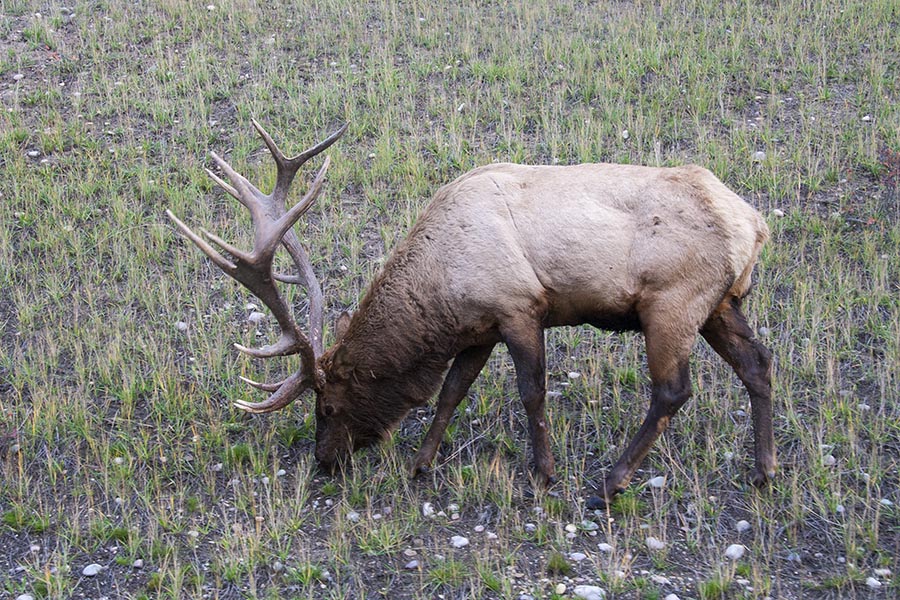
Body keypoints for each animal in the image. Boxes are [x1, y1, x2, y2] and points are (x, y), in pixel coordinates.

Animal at [166, 120, 775, 507]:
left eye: (329, 405)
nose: (324, 460)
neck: (444, 292)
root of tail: (755, 225)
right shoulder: (480, 328)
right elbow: (451, 391)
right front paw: (421, 463)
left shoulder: (520, 306)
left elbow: (531, 391)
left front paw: (543, 474)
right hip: (720, 302)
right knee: (759, 363)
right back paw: (764, 470)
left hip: (674, 300)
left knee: (674, 390)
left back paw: (610, 483)